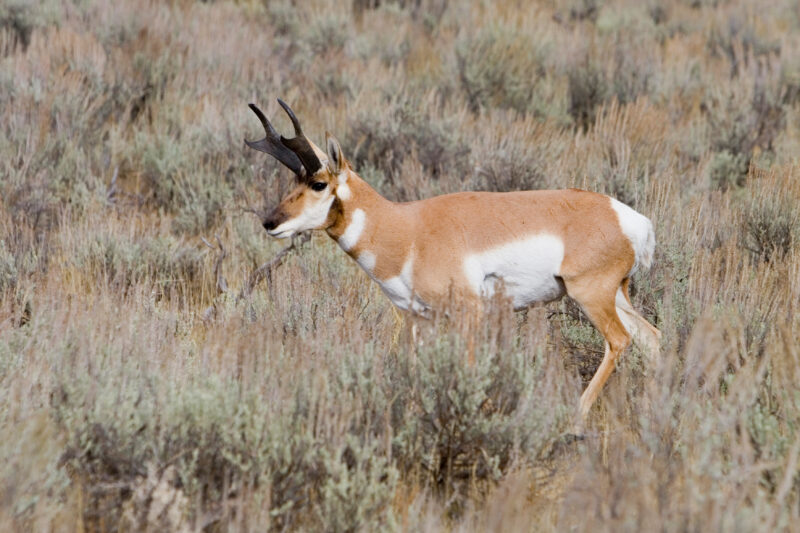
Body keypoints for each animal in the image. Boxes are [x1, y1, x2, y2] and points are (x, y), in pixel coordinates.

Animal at [245, 99, 661, 417]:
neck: (406, 227)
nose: (269, 222)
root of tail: (626, 216)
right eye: (292, 182)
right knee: (651, 338)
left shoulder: (469, 313)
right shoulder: (420, 319)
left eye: (318, 183)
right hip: (616, 295)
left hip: (590, 295)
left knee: (620, 341)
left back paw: (577, 416)